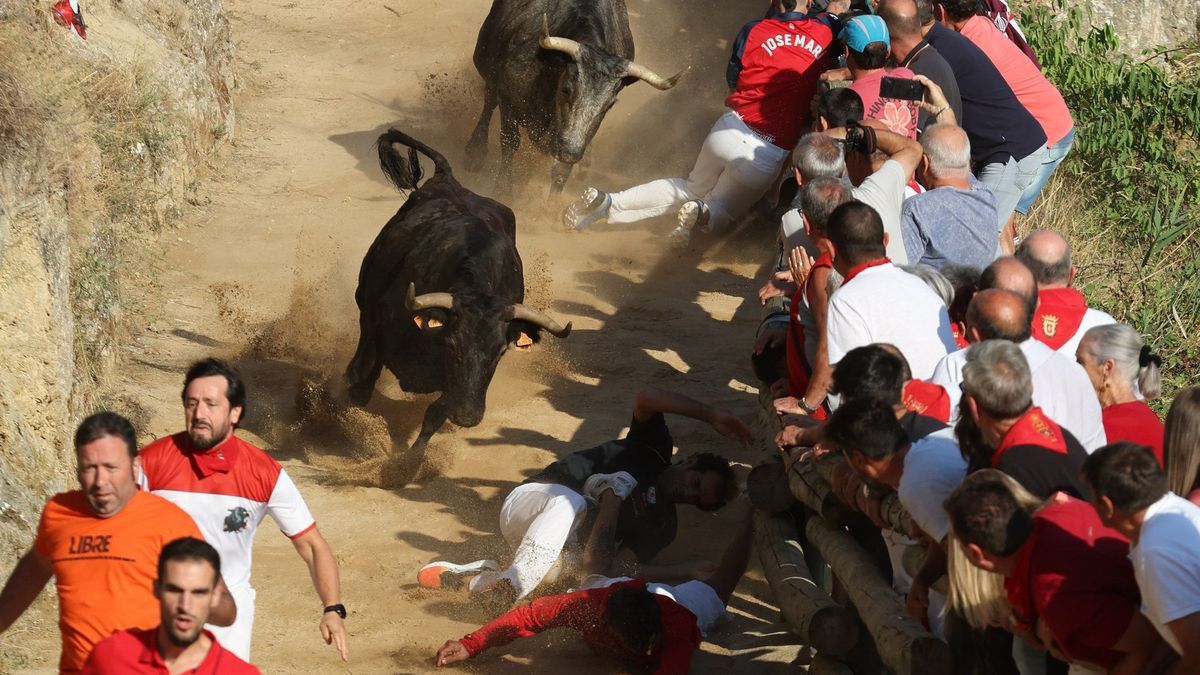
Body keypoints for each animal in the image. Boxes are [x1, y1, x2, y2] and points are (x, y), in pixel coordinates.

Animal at [348, 128, 571, 449]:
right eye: (452, 345)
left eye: (500, 352)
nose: (468, 417)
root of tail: (449, 178)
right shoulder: (378, 334)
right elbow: (361, 383)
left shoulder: (451, 389)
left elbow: (435, 414)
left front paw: (409, 459)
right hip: (364, 300)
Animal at [465, 1, 686, 193]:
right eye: (566, 89)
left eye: (610, 104)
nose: (569, 151)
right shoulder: (508, 95)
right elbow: (510, 141)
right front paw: (503, 189)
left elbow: (561, 170)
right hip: (485, 62)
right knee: (489, 101)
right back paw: (475, 152)